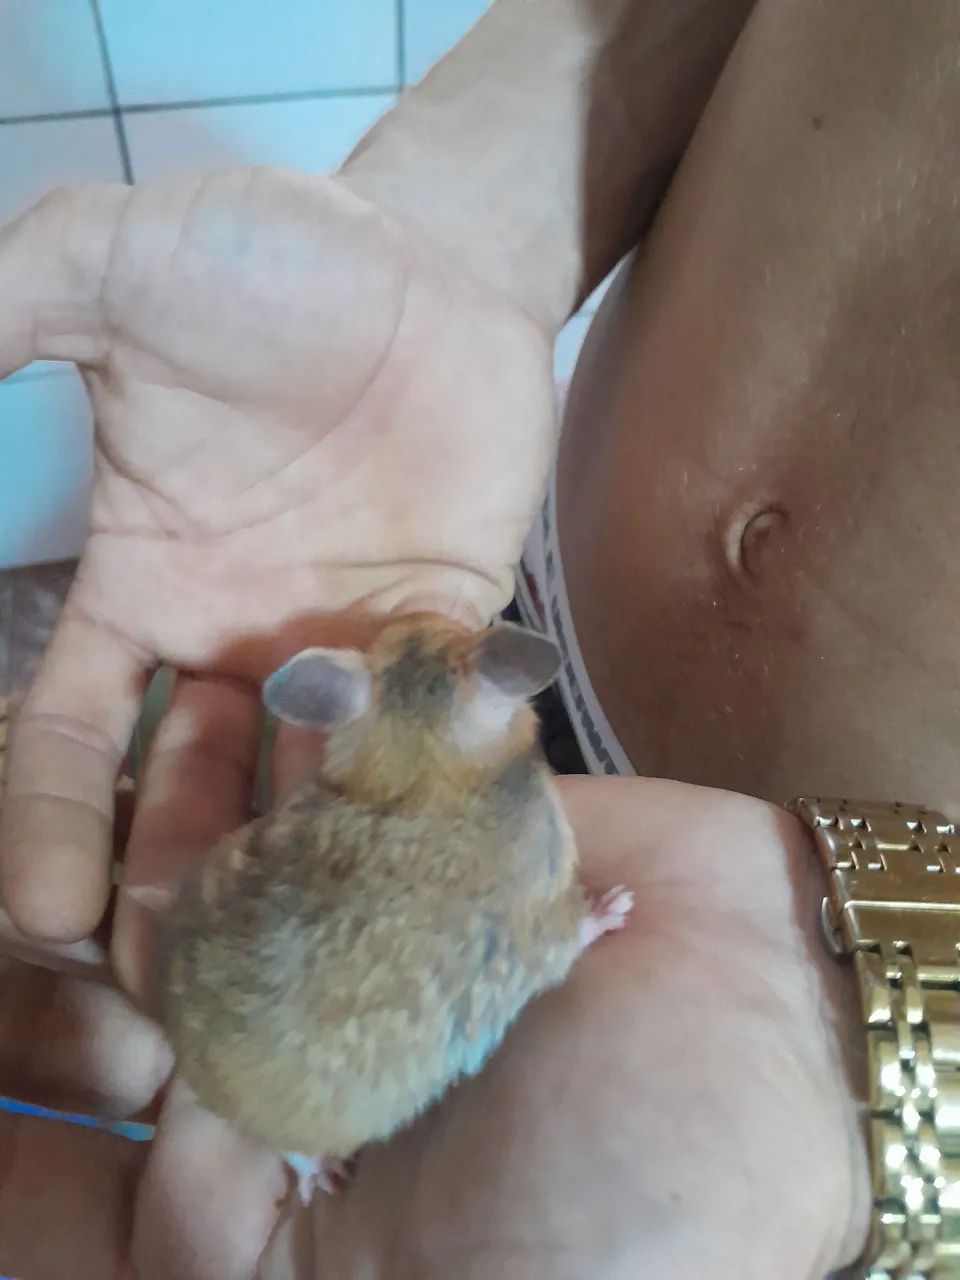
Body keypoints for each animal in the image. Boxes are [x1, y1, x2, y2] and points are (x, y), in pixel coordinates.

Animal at [158, 614, 633, 1201]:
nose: (405, 614)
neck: (423, 775)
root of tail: (182, 1049)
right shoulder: (544, 917)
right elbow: (575, 933)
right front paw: (617, 904)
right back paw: (325, 1175)